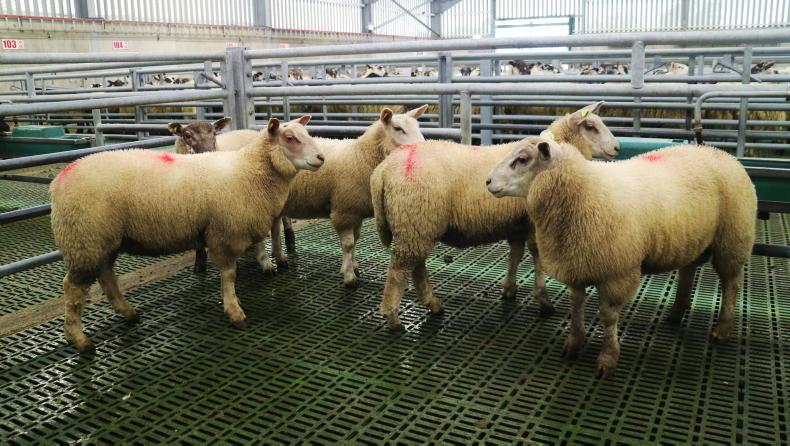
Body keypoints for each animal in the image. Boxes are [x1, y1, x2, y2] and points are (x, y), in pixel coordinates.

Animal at [50, 116, 323, 353]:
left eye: (306, 134)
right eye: (289, 138)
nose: (321, 157)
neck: (249, 170)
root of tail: (60, 179)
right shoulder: (223, 233)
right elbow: (229, 275)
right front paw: (235, 312)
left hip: (104, 240)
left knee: (107, 277)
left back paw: (129, 314)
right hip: (85, 238)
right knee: (72, 288)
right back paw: (80, 340)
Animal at [259, 105, 429, 286]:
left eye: (418, 126)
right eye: (398, 128)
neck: (361, 157)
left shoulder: (356, 210)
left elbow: (355, 240)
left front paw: (353, 266)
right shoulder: (344, 210)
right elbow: (348, 244)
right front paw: (349, 277)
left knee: (274, 227)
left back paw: (280, 257)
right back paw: (267, 264)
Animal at [370, 102, 619, 330]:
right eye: (590, 127)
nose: (617, 148)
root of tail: (382, 170)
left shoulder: (517, 224)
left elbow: (515, 255)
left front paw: (509, 289)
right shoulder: (533, 223)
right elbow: (537, 258)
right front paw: (544, 300)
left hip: (416, 224)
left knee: (416, 267)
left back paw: (433, 304)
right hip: (415, 221)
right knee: (399, 271)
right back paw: (393, 317)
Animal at [486, 141, 757, 378]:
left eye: (522, 160)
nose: (487, 181)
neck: (586, 190)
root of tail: (722, 153)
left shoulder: (618, 272)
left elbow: (608, 317)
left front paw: (608, 358)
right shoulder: (577, 264)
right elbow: (576, 305)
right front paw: (574, 343)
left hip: (732, 239)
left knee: (731, 283)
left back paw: (722, 329)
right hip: (693, 238)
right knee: (688, 271)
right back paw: (676, 313)